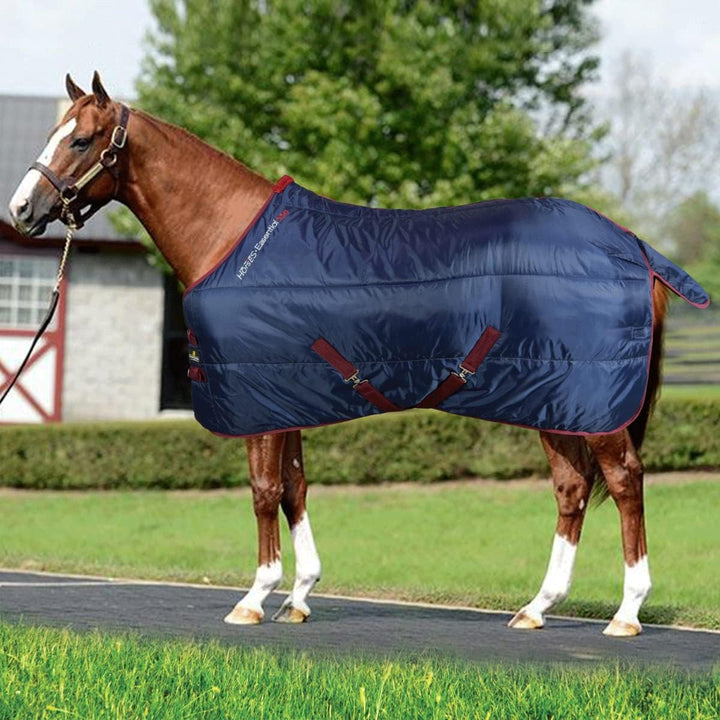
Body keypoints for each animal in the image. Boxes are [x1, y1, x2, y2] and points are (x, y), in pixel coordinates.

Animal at [8, 72, 701, 638]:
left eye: (80, 141)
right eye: (53, 133)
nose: (21, 210)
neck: (233, 239)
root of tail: (633, 246)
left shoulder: (259, 399)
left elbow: (264, 490)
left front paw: (255, 598)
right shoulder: (284, 396)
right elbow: (294, 487)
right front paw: (299, 596)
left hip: (591, 402)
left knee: (624, 479)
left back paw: (627, 612)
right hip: (554, 398)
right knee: (572, 486)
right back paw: (538, 607)